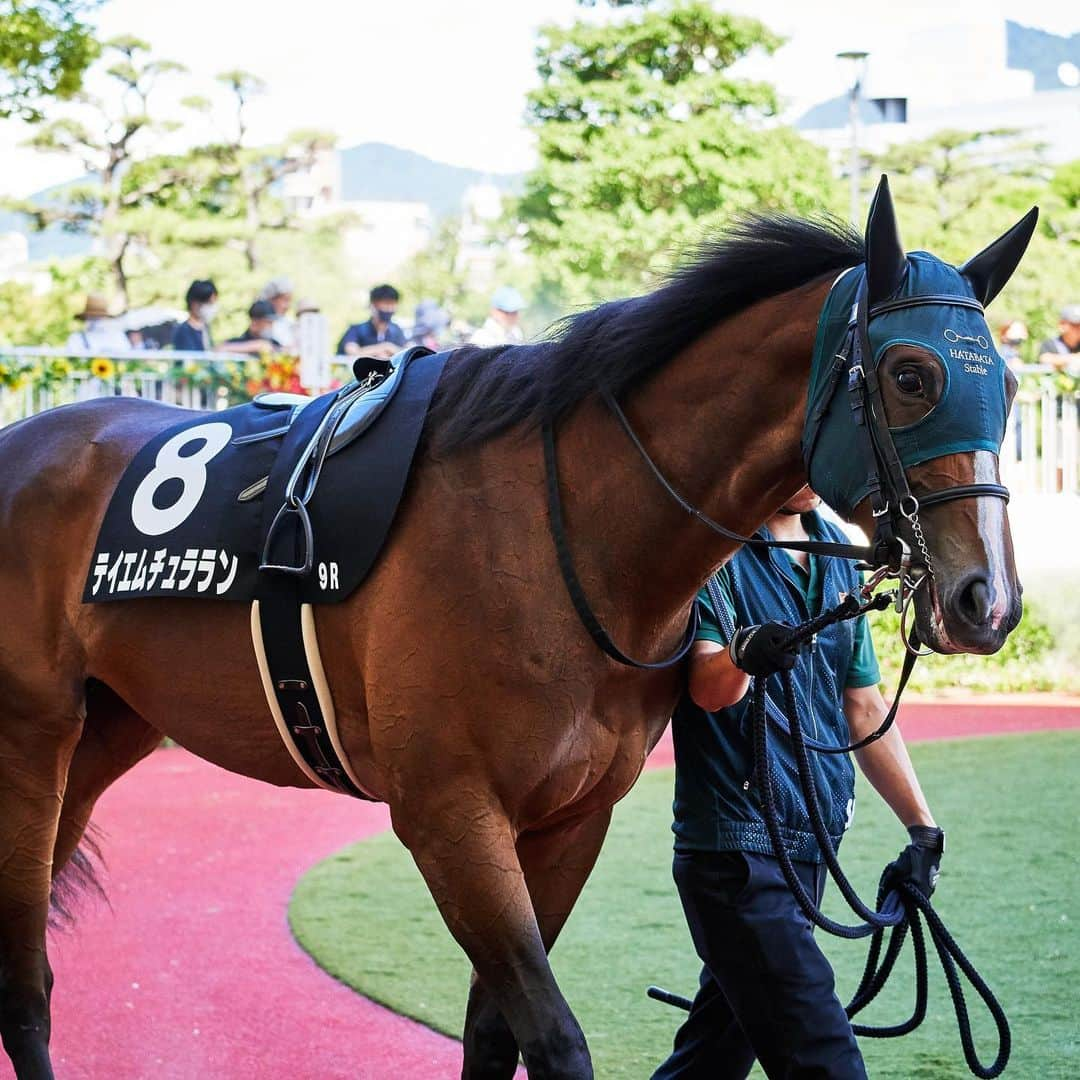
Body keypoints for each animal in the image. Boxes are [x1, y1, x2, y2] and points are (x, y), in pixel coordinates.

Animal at [0, 181, 1036, 1075]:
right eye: (912, 374)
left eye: (1012, 386)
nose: (987, 600)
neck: (558, 531)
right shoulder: (449, 816)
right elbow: (554, 1037)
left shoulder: (571, 819)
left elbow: (493, 1035)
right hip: (32, 737)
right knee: (25, 976)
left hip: (109, 728)